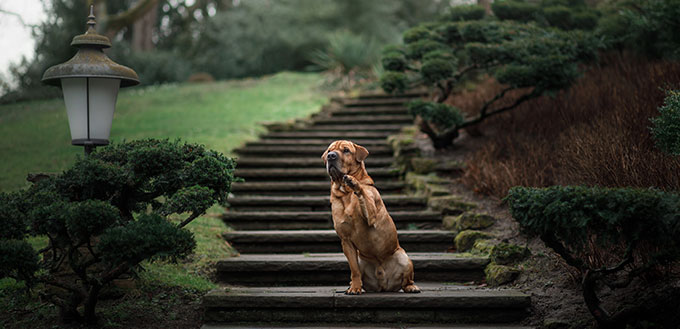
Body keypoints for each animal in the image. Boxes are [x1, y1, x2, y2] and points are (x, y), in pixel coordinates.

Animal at [322, 140, 420, 294]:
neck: (346, 193)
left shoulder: (371, 215)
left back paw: (411, 287)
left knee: (407, 281)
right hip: (360, 259)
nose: (331, 156)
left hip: (403, 257)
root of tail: (384, 285)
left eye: (346, 150)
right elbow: (354, 270)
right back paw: (354, 285)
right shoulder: (346, 241)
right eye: (329, 151)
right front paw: (355, 288)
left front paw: (354, 182)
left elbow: (363, 193)